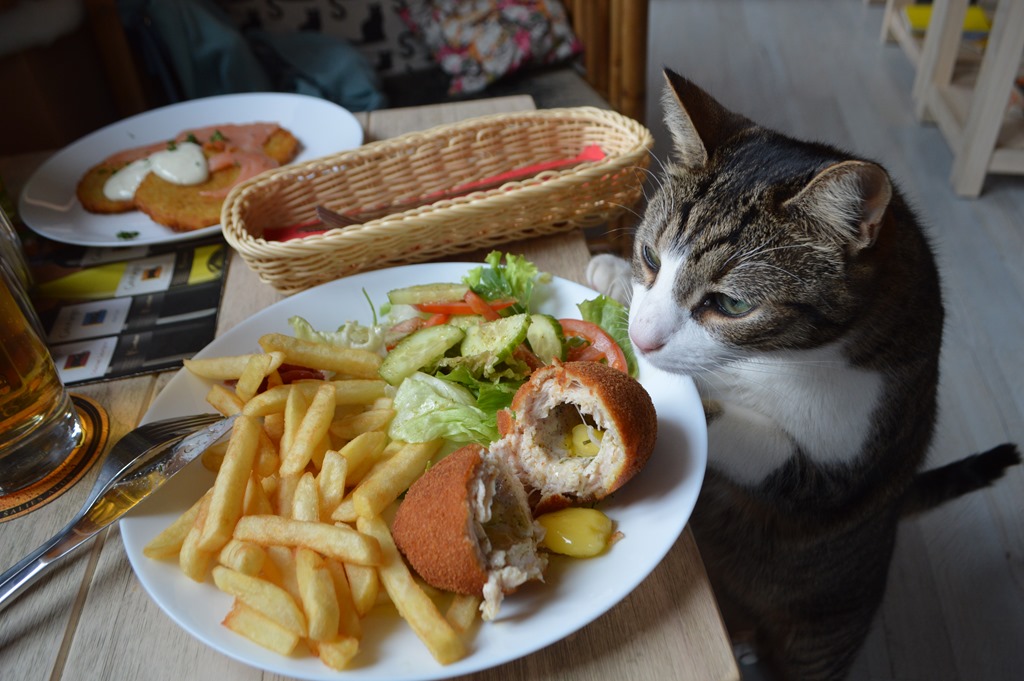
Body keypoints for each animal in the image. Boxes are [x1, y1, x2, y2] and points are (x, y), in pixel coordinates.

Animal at [589, 70, 1019, 679]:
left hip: (820, 632)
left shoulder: (836, 464)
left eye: (732, 304)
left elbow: (737, 427)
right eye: (650, 257)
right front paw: (611, 277)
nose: (646, 338)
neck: (781, 356)